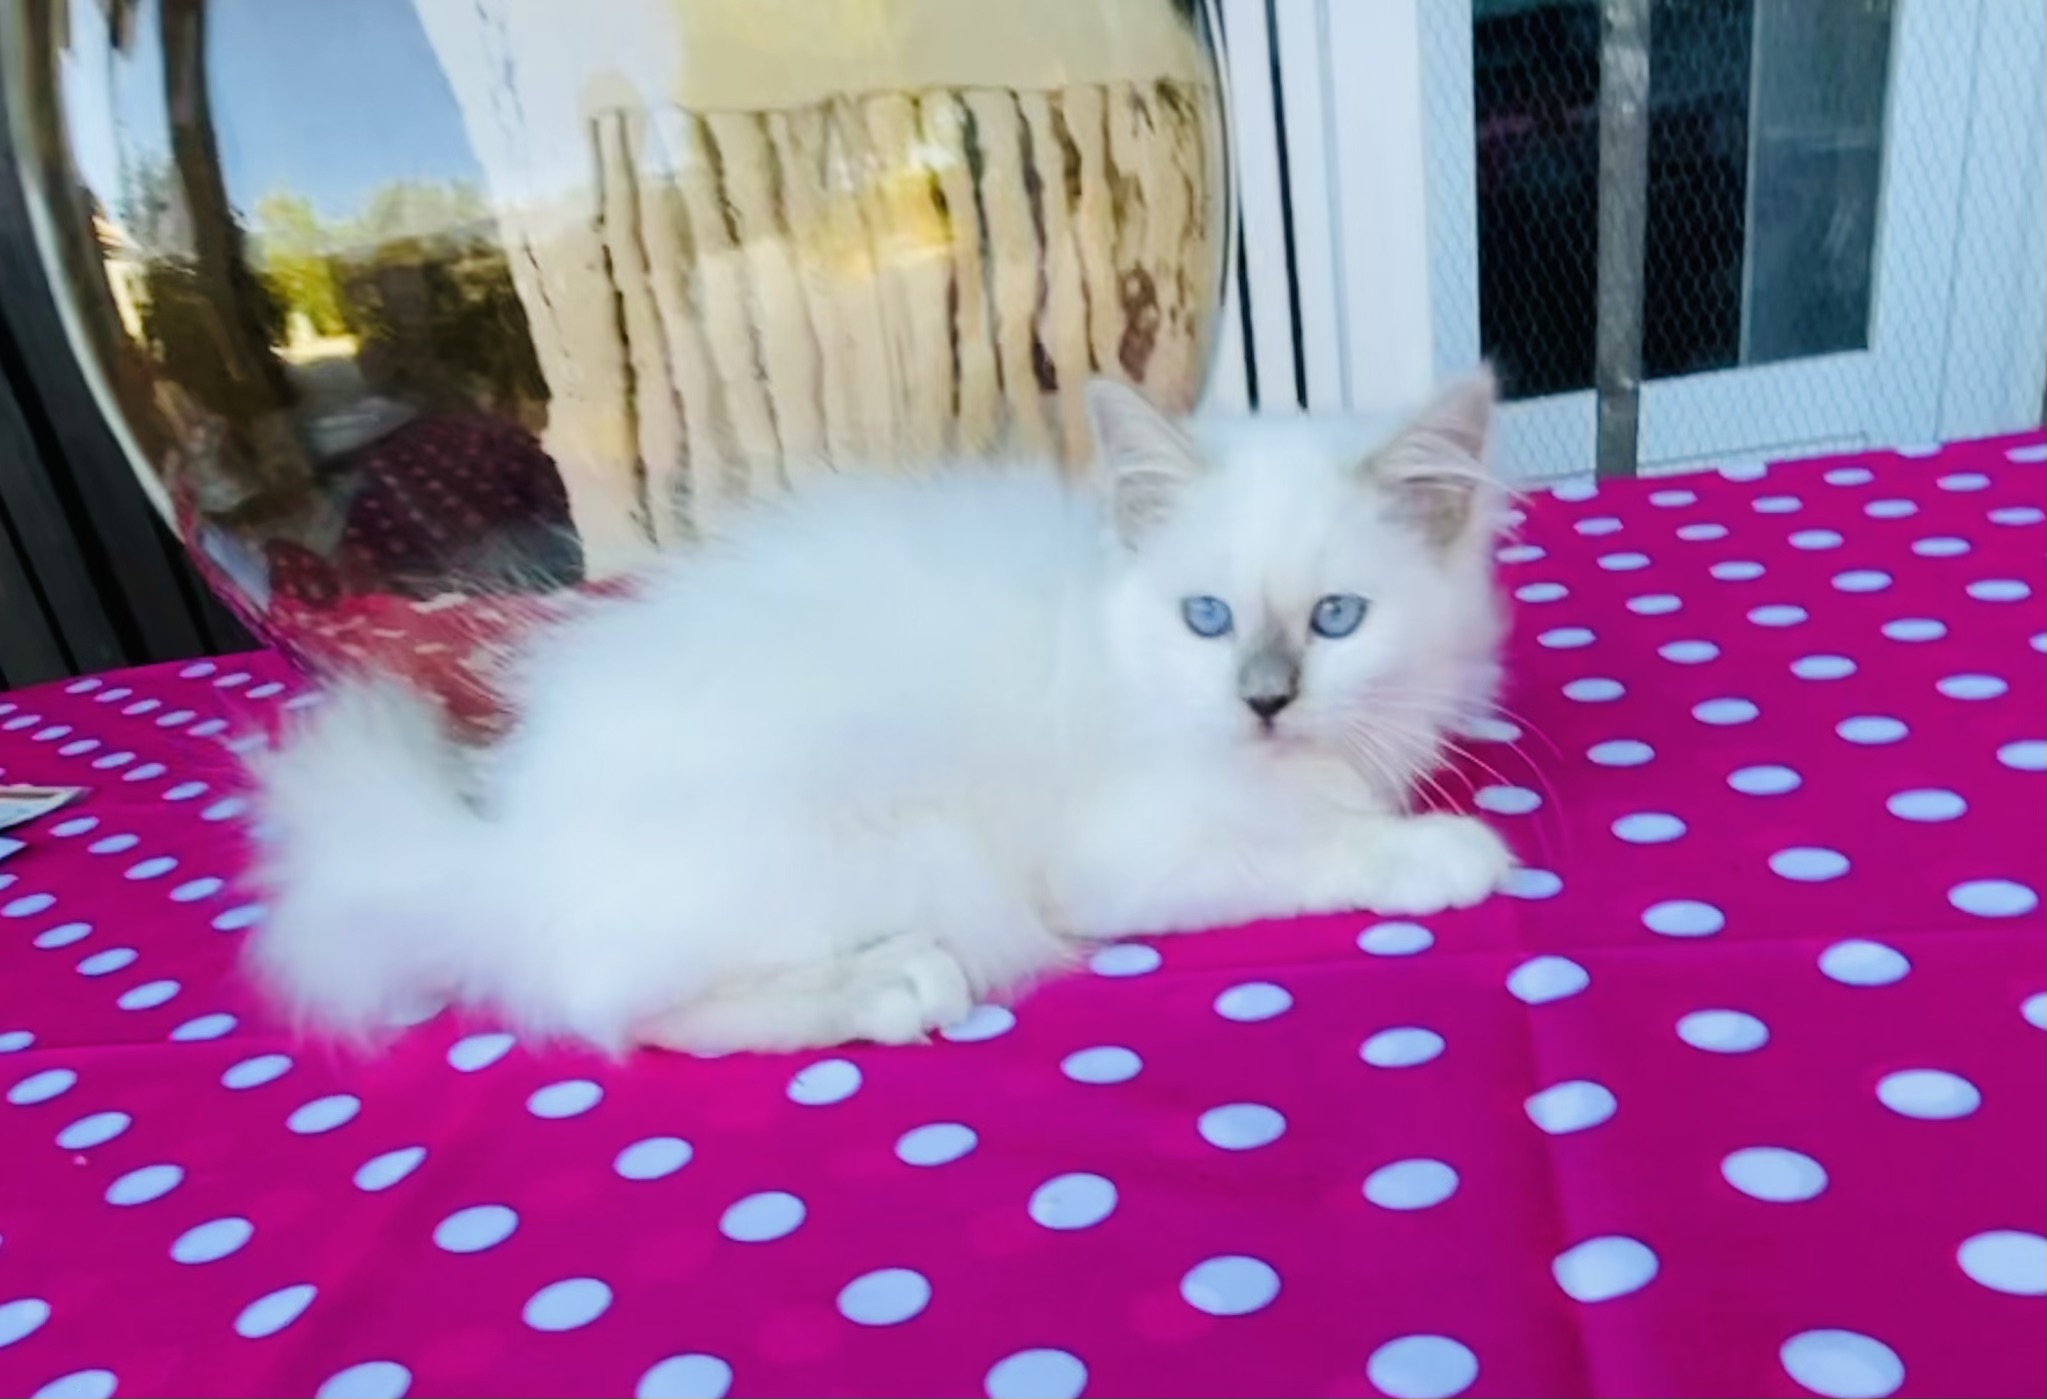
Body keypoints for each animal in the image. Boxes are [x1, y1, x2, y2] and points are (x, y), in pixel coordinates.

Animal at [248, 372, 1516, 1055]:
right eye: (1205, 618)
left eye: (1337, 619)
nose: (1263, 700)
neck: (1100, 626)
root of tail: (507, 854)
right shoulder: (1127, 858)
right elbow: (1314, 849)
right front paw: (1442, 853)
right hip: (867, 851)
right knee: (625, 1006)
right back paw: (893, 984)